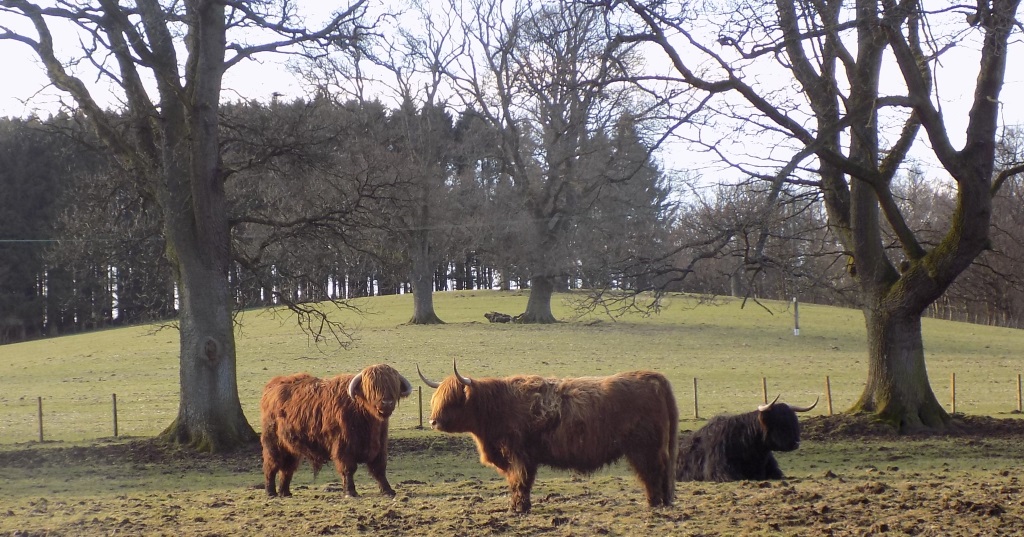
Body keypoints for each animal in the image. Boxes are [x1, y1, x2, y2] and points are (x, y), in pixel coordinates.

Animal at [260, 364, 411, 500]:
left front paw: (388, 491)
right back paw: (271, 492)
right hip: (273, 444)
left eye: (394, 386)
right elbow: (348, 469)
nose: (387, 403)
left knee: (287, 469)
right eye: (372, 388)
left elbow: (379, 469)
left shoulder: (379, 446)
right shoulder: (343, 447)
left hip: (290, 448)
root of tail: (272, 385)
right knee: (271, 466)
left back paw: (285, 492)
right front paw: (350, 492)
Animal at [415, 362, 679, 514]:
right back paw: (663, 502)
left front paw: (518, 509)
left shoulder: (519, 456)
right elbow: (517, 483)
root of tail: (652, 377)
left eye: (453, 399)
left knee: (652, 473)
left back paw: (653, 504)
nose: (433, 421)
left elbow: (520, 482)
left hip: (645, 448)